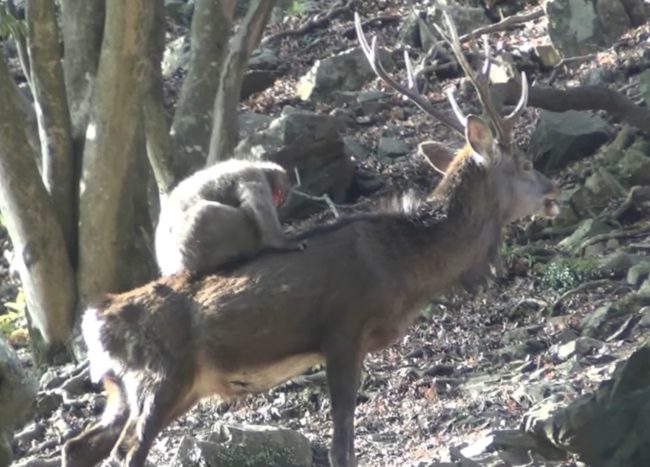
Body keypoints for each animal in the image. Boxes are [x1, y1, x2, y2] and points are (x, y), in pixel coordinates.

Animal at [154, 159, 303, 276]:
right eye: (279, 195)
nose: (279, 203)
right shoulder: (251, 175)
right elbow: (259, 205)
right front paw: (283, 242)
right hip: (200, 246)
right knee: (205, 212)